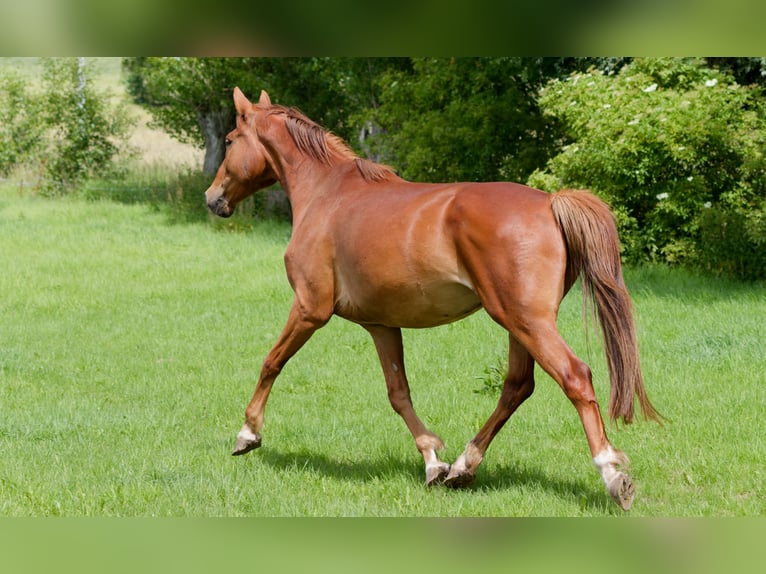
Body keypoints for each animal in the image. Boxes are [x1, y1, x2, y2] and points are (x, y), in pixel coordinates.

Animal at [206, 88, 664, 510]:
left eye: (229, 139)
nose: (212, 199)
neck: (327, 193)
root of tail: (550, 202)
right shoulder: (381, 324)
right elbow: (399, 393)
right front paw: (433, 461)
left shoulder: (309, 308)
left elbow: (272, 362)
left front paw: (248, 434)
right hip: (518, 323)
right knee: (517, 386)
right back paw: (464, 466)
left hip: (528, 322)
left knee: (574, 377)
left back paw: (612, 474)